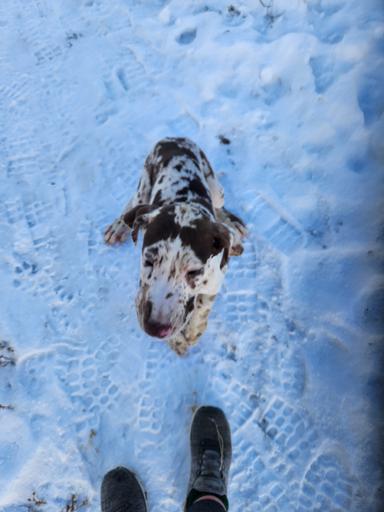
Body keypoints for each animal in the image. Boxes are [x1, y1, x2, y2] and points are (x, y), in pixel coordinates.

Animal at [104, 138, 246, 354]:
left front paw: (191, 331)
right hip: (145, 181)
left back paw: (233, 227)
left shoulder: (215, 281)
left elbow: (202, 307)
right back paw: (118, 226)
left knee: (219, 207)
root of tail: (175, 138)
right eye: (148, 261)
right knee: (136, 202)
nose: (155, 328)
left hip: (217, 189)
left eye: (194, 271)